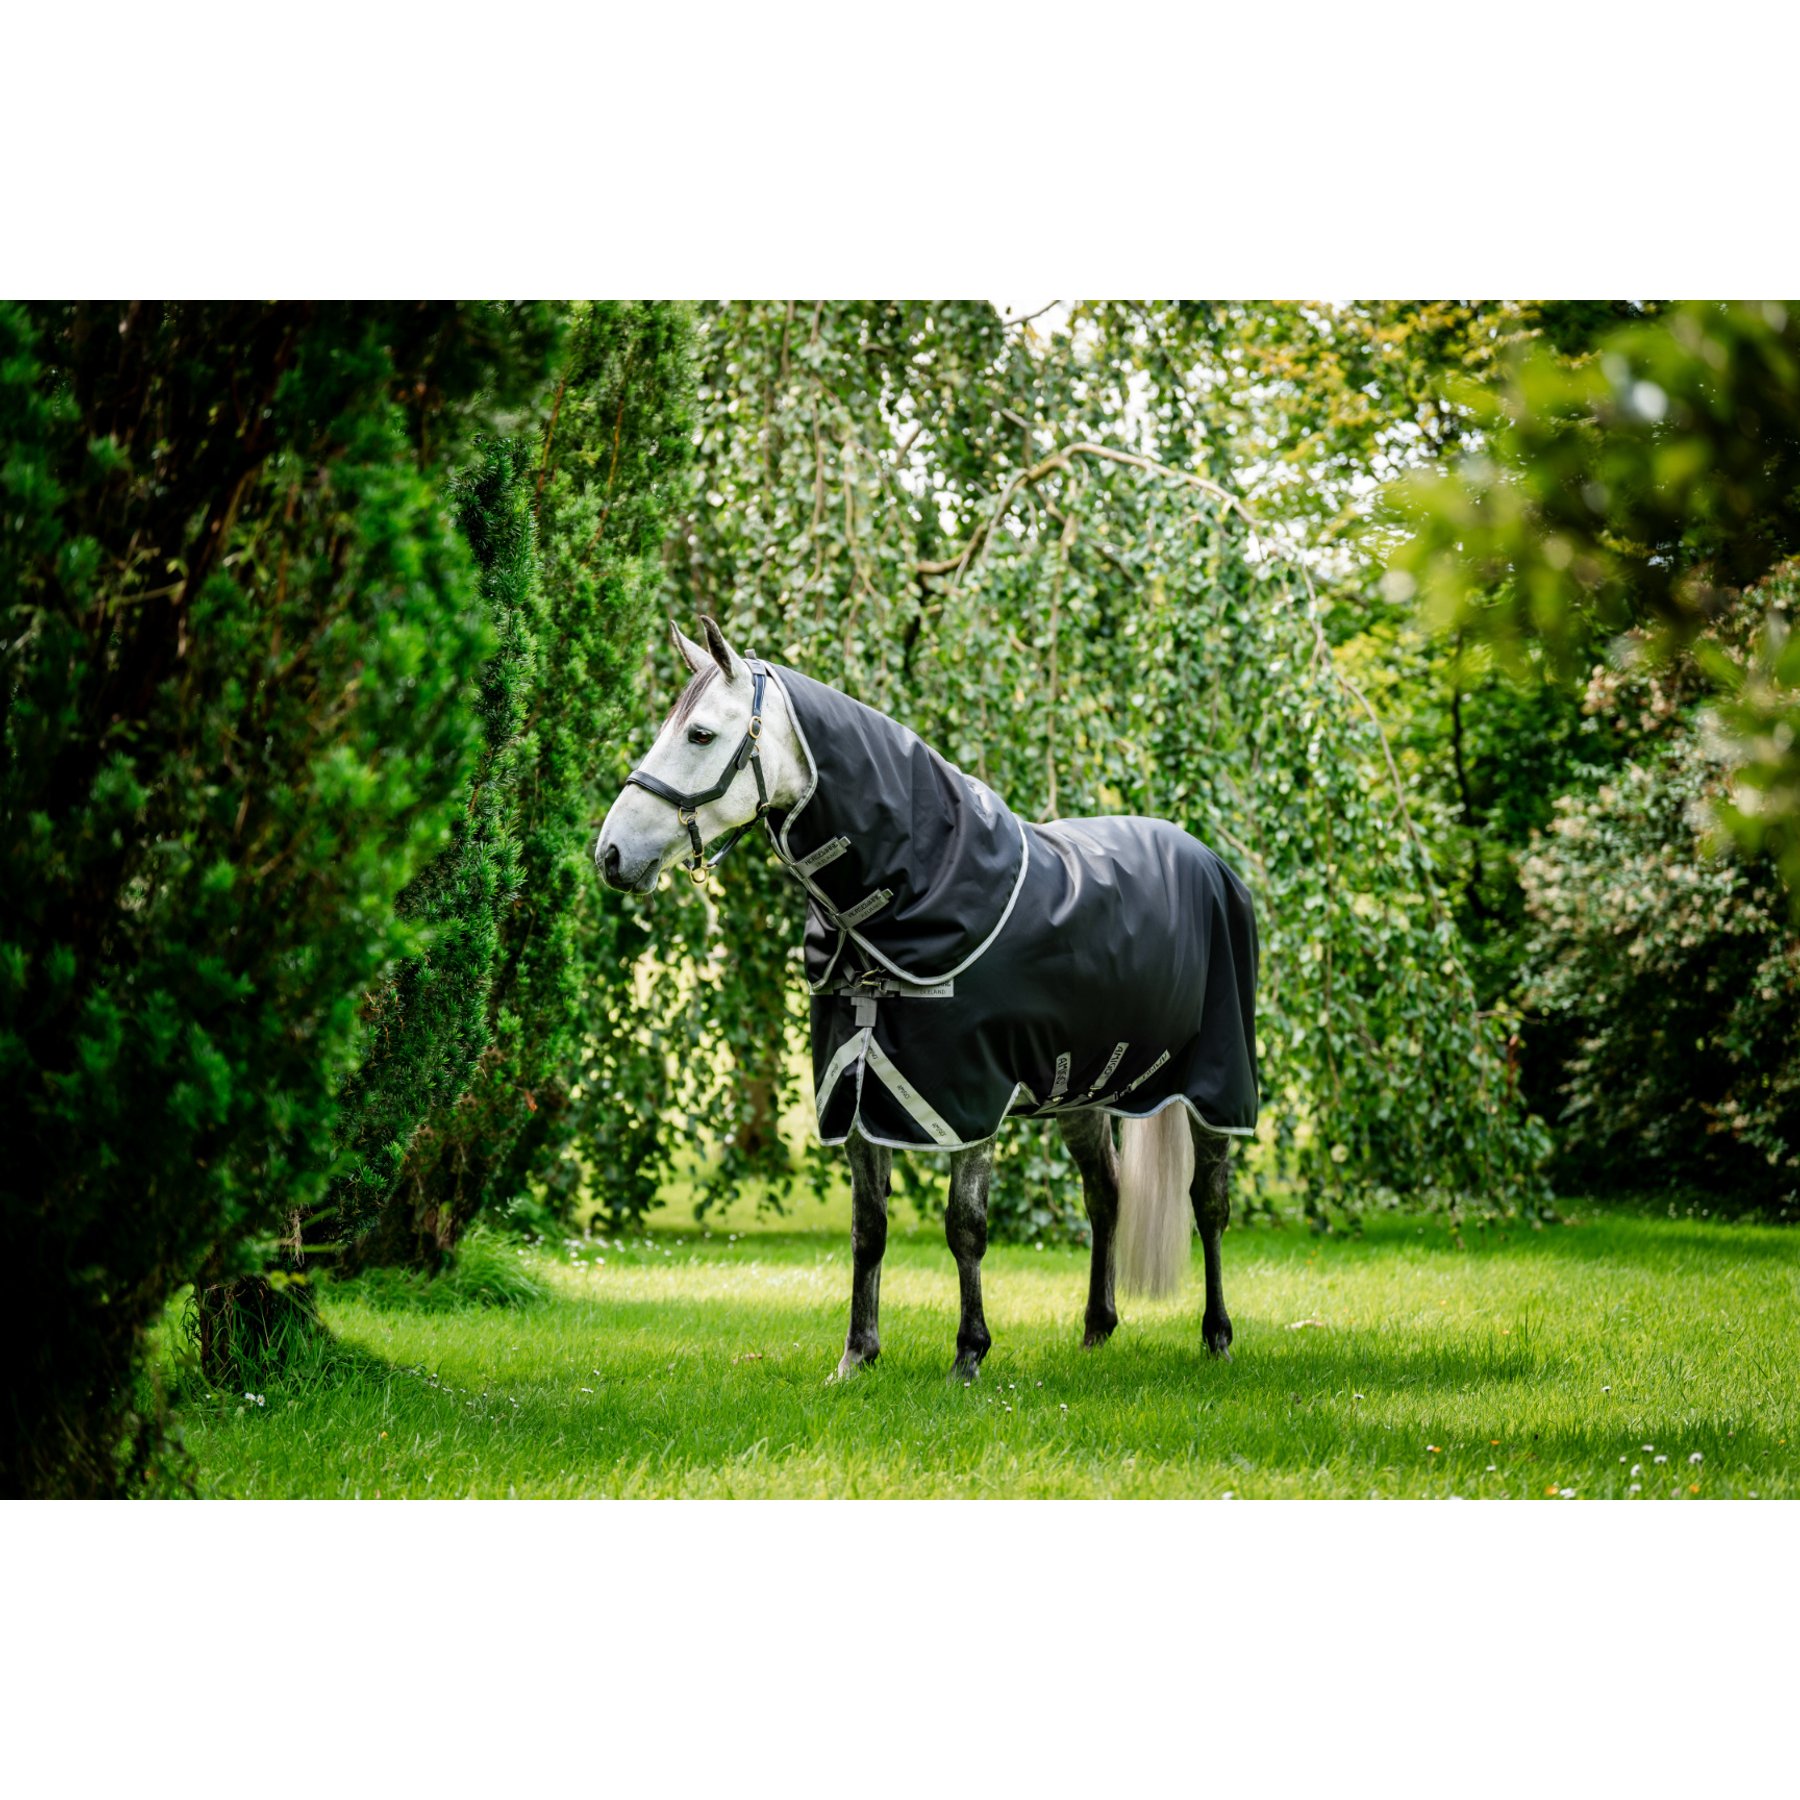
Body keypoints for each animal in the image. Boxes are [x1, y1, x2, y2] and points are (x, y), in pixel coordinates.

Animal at [596, 615, 1260, 1382]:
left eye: (701, 734)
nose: (611, 855)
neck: (910, 896)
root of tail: (1207, 860)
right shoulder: (855, 1091)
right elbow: (868, 1229)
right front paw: (856, 1356)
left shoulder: (970, 1101)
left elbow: (964, 1226)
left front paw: (969, 1354)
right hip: (1082, 1091)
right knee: (1106, 1195)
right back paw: (1097, 1329)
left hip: (1215, 1086)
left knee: (1209, 1203)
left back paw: (1218, 1334)